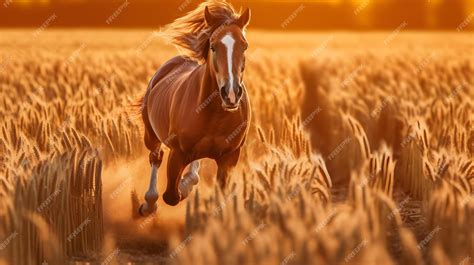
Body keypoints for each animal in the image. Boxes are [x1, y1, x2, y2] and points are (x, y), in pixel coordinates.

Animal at [136, 1, 250, 214]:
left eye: (244, 46)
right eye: (213, 46)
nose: (231, 93)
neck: (216, 114)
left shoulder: (230, 157)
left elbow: (221, 193)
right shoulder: (177, 153)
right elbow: (171, 196)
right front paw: (182, 188)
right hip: (151, 135)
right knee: (155, 157)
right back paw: (149, 204)